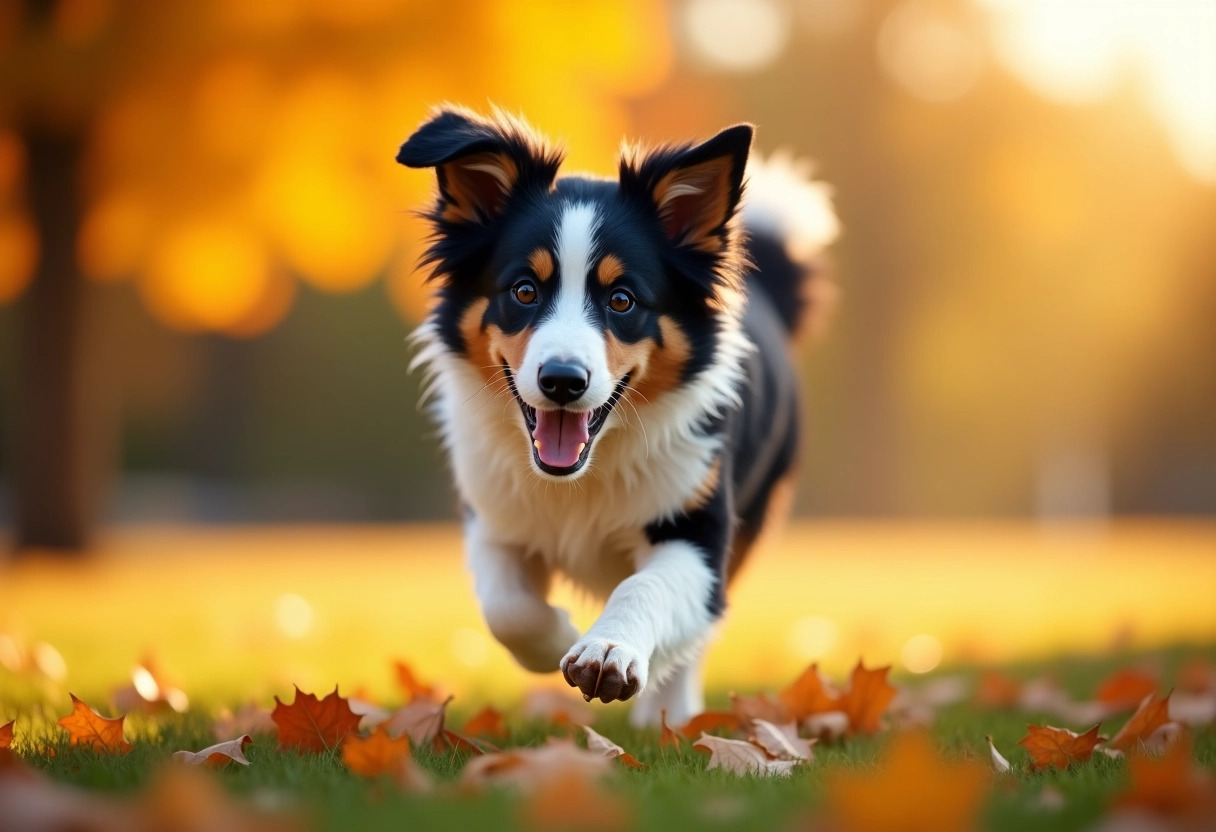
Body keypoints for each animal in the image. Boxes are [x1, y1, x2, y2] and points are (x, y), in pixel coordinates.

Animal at [398, 105, 836, 729]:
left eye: (622, 299)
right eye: (524, 290)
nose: (562, 381)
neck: (585, 473)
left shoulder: (698, 528)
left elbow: (645, 588)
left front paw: (606, 650)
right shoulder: (493, 515)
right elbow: (508, 609)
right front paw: (560, 636)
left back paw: (669, 714)